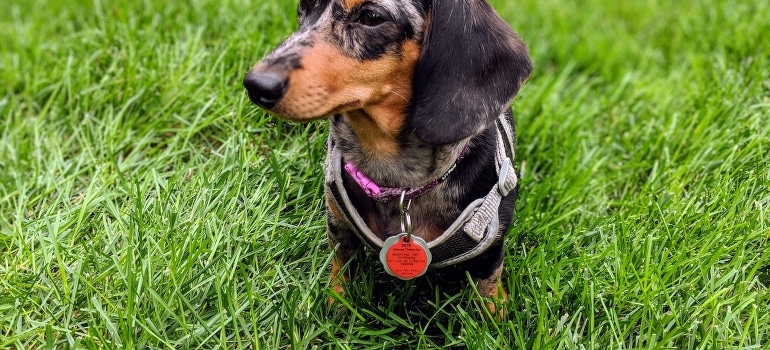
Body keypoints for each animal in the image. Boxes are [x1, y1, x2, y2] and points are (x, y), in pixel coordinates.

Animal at [243, 0, 532, 314]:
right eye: (303, 7)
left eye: (371, 17)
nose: (256, 84)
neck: (397, 179)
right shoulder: (338, 225)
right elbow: (341, 267)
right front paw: (337, 304)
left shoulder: (491, 245)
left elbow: (487, 286)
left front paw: (494, 315)